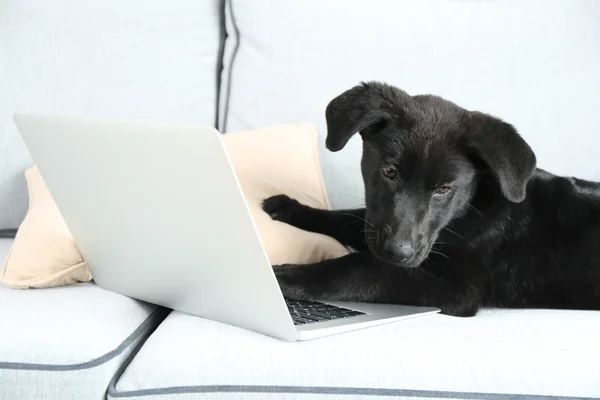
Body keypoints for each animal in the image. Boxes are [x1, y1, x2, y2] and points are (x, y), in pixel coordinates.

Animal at [262, 81, 600, 318]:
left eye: (443, 190)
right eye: (389, 172)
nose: (397, 252)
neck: (468, 212)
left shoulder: (456, 288)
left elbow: (363, 268)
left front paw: (286, 276)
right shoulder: (377, 224)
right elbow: (348, 217)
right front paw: (290, 207)